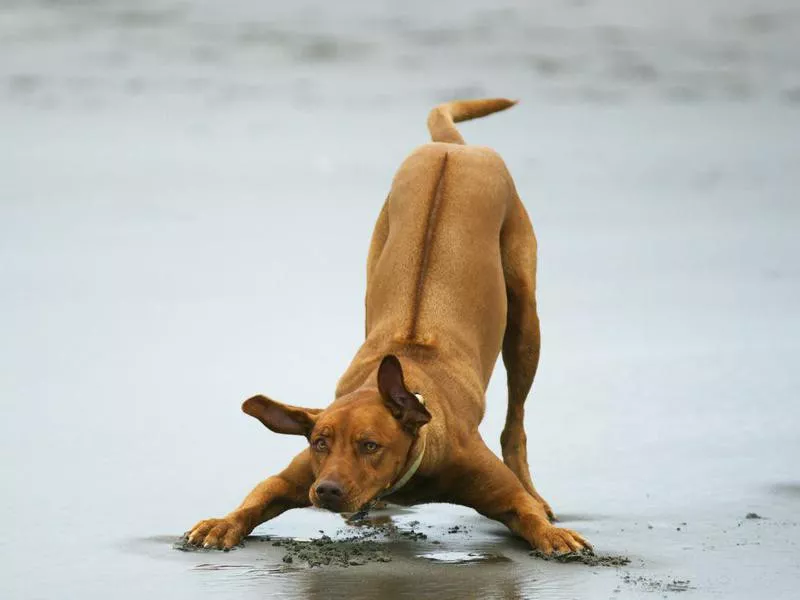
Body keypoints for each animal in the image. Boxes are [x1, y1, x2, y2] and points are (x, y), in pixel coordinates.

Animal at [186, 98, 588, 552]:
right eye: (320, 443)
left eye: (370, 445)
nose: (326, 490)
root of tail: (455, 149)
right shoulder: (296, 475)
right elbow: (257, 495)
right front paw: (222, 523)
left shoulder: (495, 485)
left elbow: (525, 509)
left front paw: (552, 533)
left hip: (525, 319)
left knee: (515, 421)